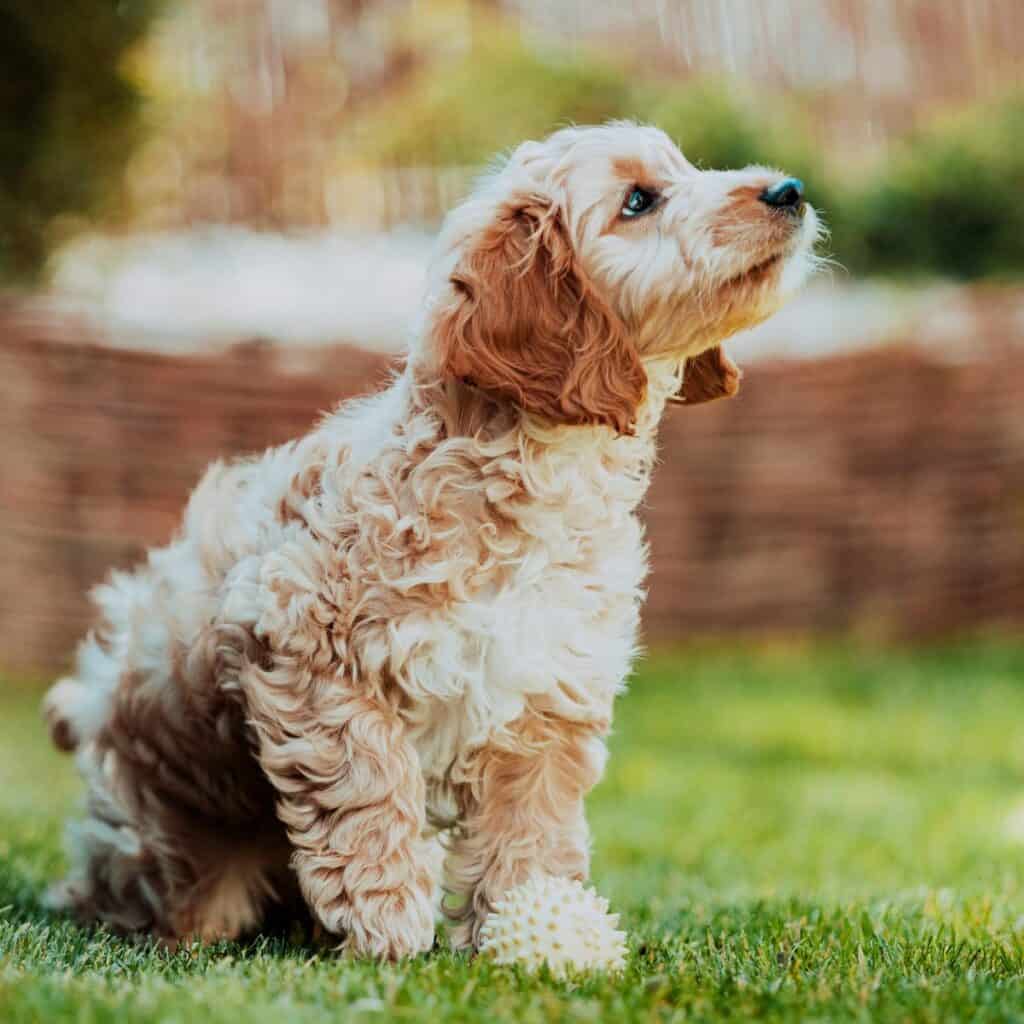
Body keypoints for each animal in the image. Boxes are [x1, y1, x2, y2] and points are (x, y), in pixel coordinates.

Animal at [41, 121, 823, 958]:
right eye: (639, 200)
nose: (790, 190)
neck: (538, 475)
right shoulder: (312, 651)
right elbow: (368, 786)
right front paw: (387, 919)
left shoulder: (544, 699)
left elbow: (530, 827)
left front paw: (529, 919)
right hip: (167, 828)